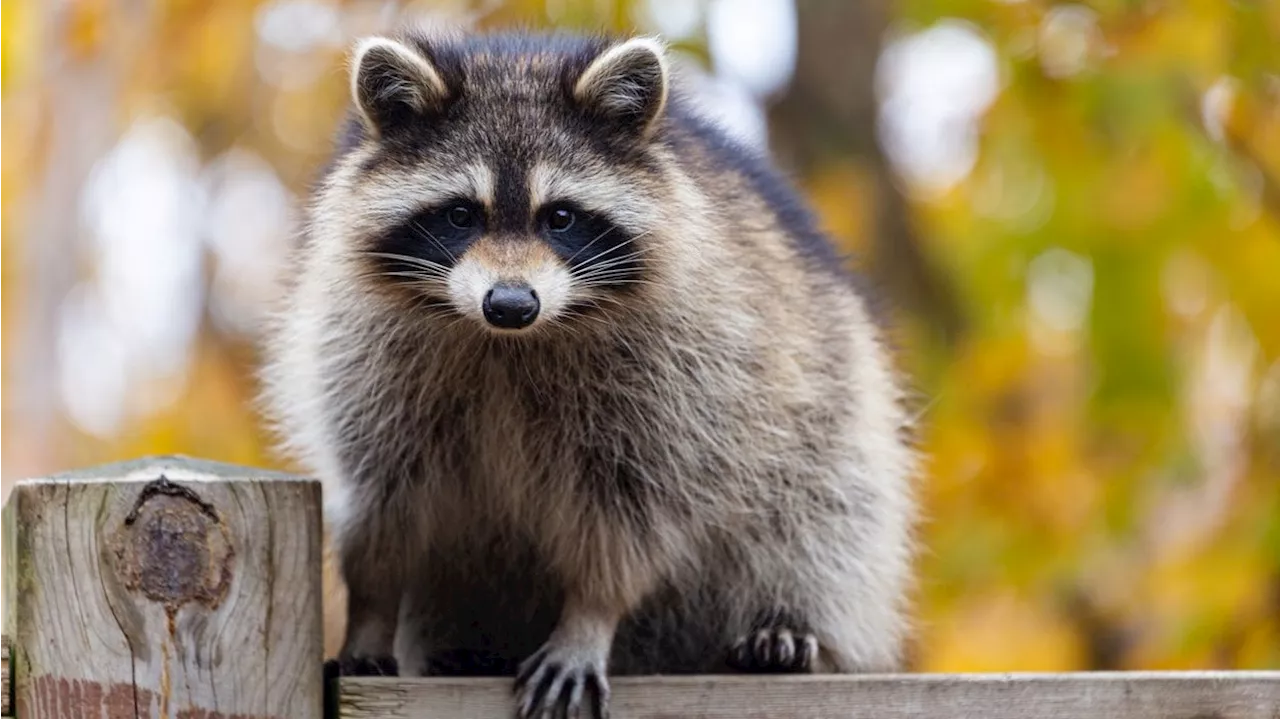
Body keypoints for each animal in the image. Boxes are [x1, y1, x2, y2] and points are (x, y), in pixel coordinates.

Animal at [259, 27, 916, 716]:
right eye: (462, 214)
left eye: (561, 217)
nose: (511, 303)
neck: (509, 342)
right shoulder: (366, 365)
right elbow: (383, 510)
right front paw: (371, 611)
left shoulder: (687, 376)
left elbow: (631, 517)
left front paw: (590, 617)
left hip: (832, 414)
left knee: (823, 516)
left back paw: (789, 625)